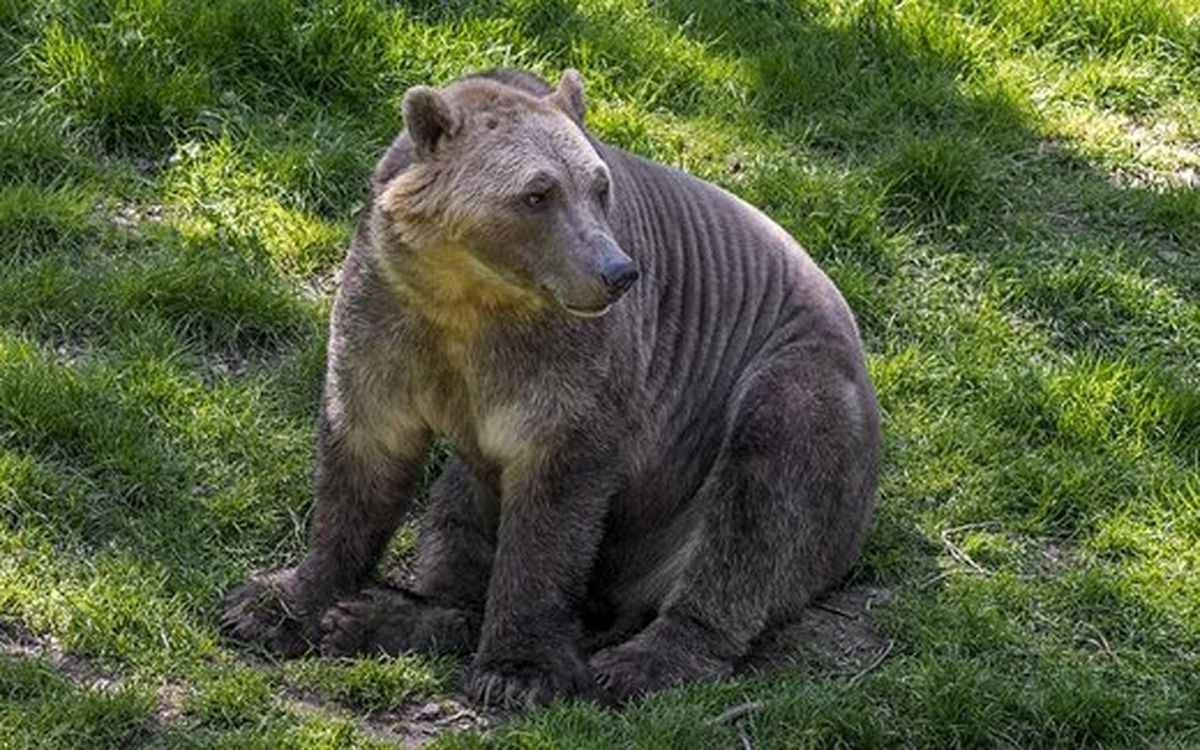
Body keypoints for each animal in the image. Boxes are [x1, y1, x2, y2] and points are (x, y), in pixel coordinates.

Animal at [225, 65, 883, 705]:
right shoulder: (389, 314)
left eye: (598, 187)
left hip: (790, 385)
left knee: (758, 503)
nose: (617, 272)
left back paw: (643, 661)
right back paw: (382, 618)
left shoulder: (571, 367)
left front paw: (519, 670)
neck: (467, 296)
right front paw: (273, 603)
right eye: (537, 193)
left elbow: (554, 505)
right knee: (457, 510)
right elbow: (363, 449)